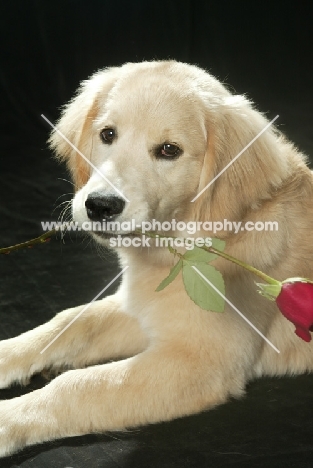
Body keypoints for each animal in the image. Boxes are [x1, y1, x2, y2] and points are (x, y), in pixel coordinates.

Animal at [0, 60, 312, 456]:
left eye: (168, 150)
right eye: (107, 134)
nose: (100, 205)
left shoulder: (200, 363)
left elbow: (76, 385)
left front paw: (5, 420)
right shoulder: (142, 309)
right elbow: (69, 323)